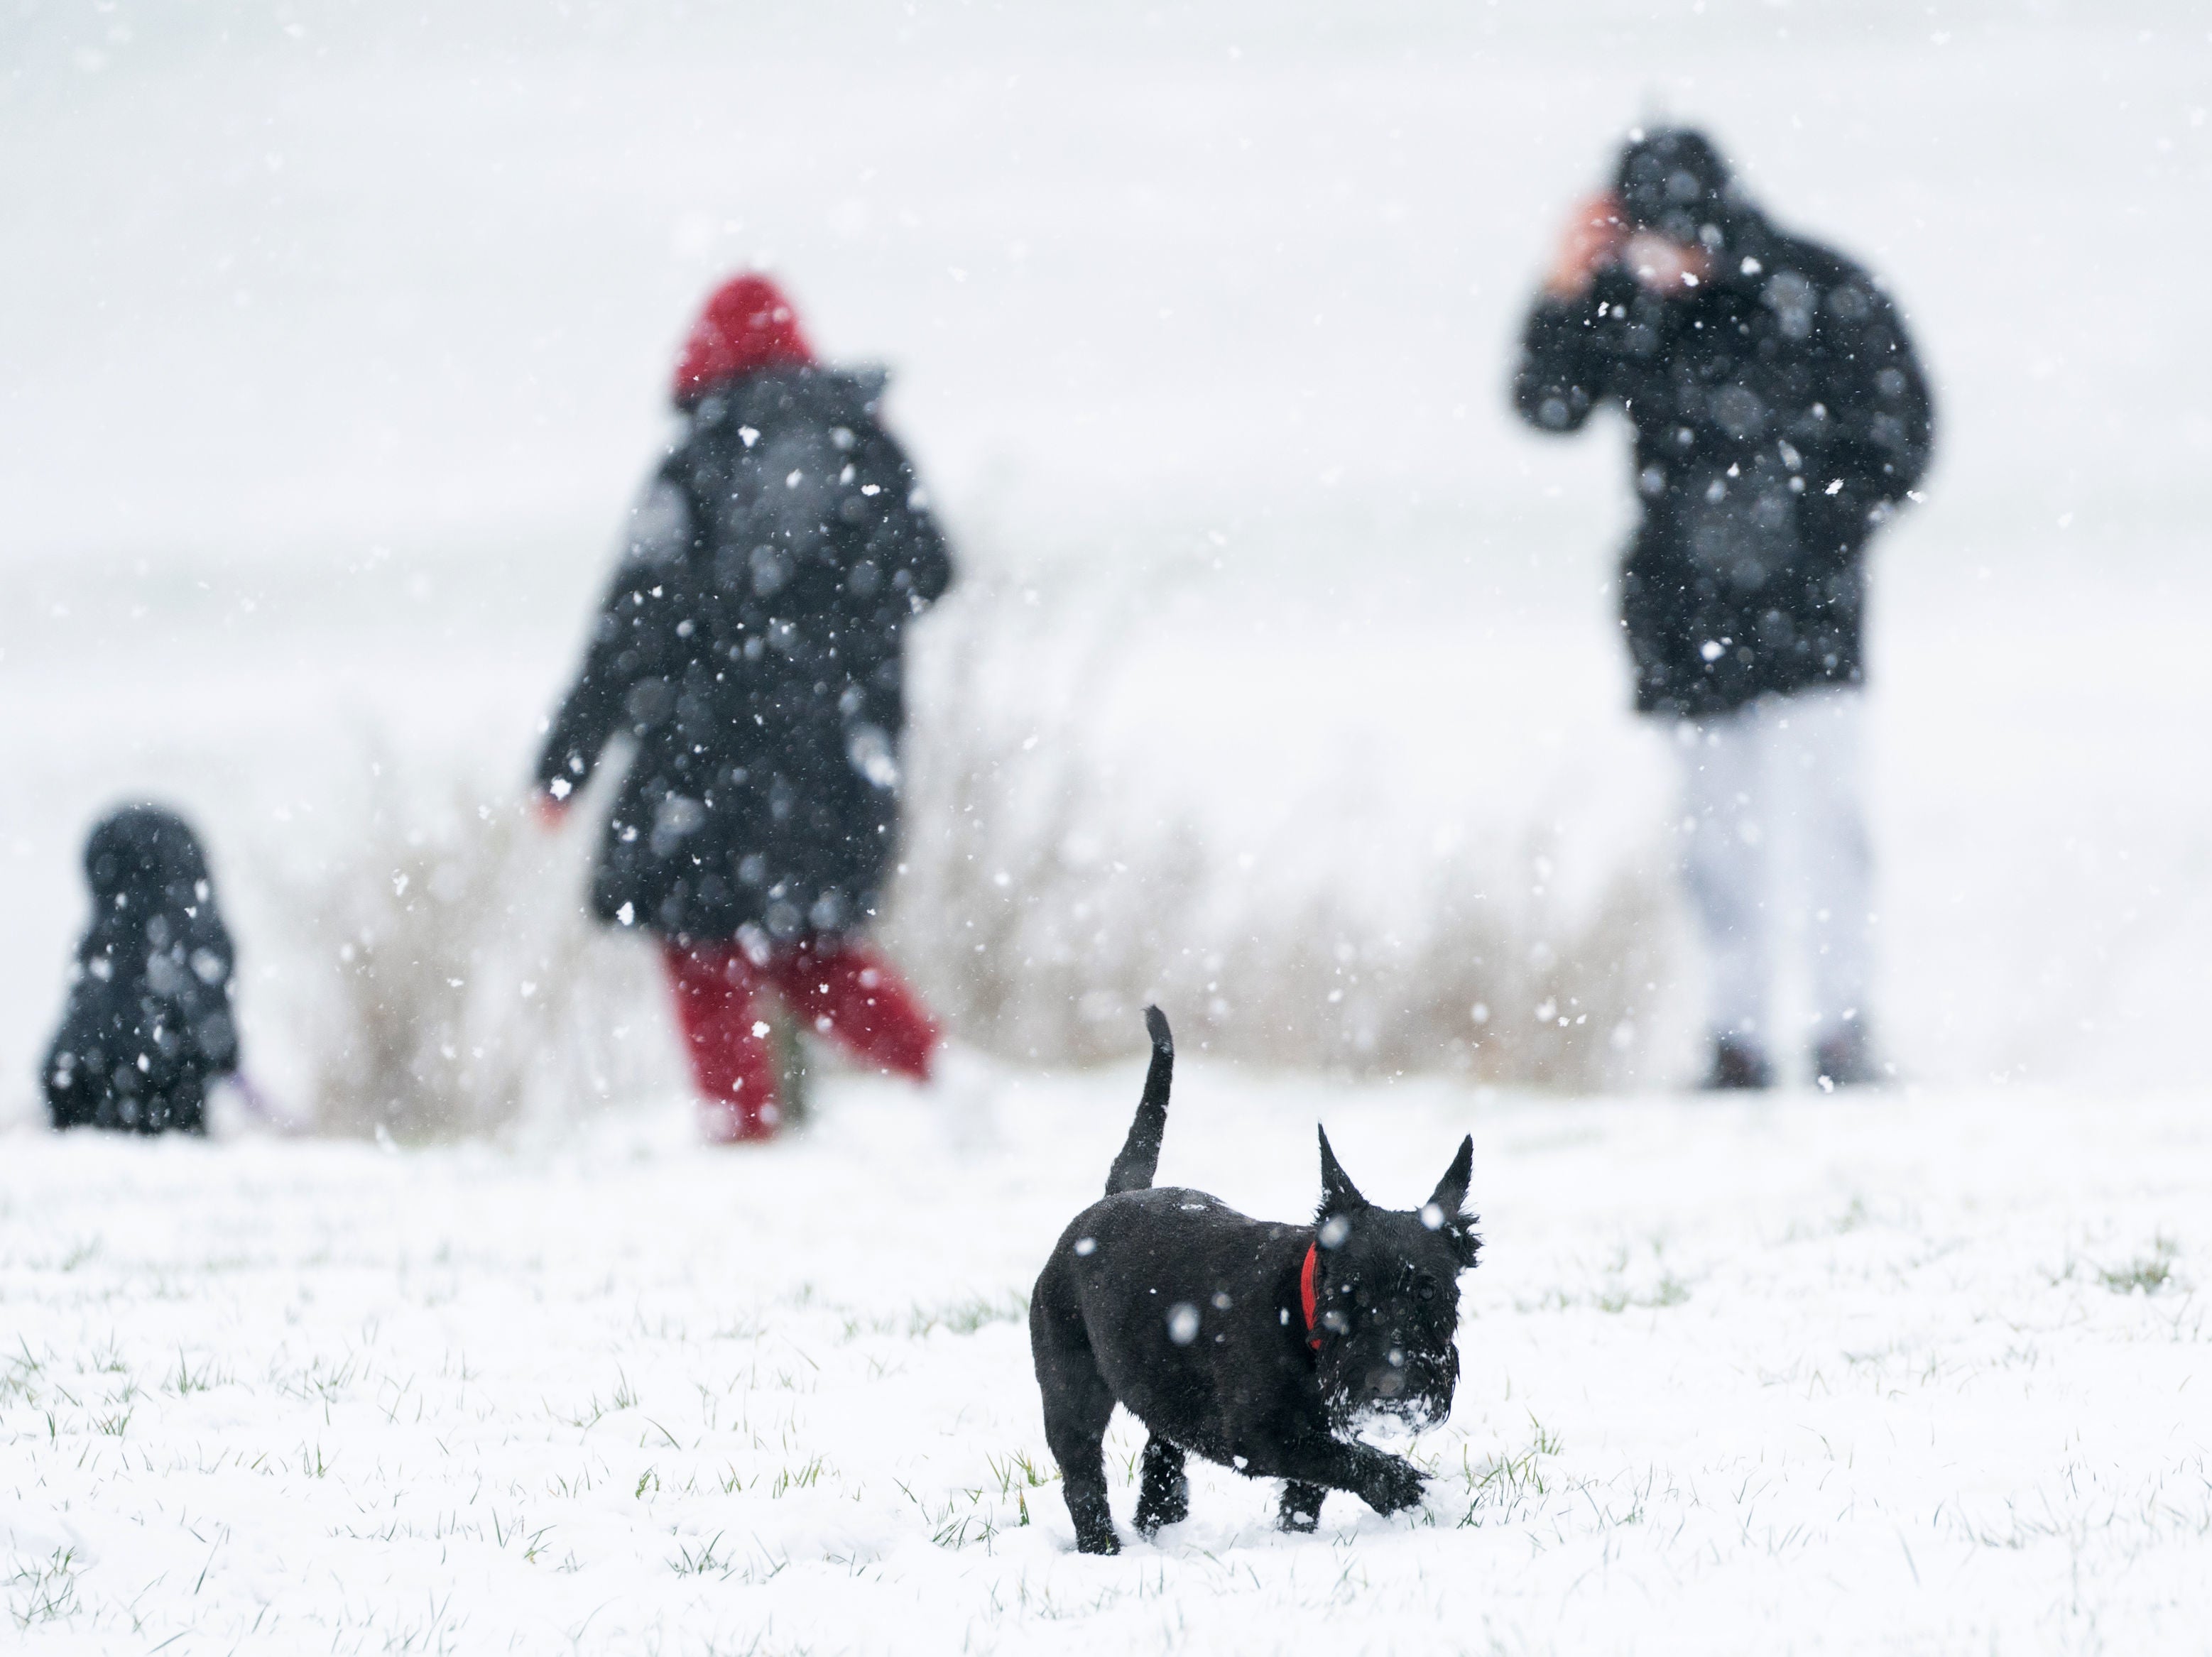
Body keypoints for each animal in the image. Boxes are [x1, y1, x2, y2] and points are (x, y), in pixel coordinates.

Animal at [1026, 1000, 1477, 1557]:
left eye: (1429, 1291)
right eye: (1349, 1293)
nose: (1390, 1385)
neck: (1300, 1315)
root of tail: (1111, 1199)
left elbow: (1311, 1486)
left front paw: (1296, 1536)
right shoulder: (1254, 1437)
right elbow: (1341, 1460)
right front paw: (1409, 1490)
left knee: (1160, 1453)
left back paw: (1160, 1521)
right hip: (1071, 1389)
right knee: (1082, 1473)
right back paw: (1102, 1546)